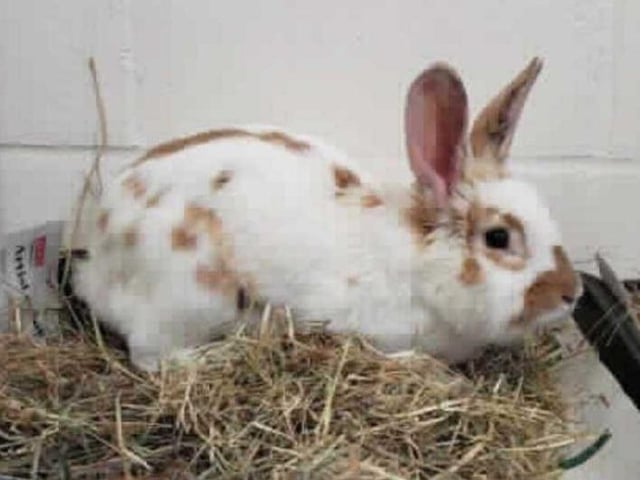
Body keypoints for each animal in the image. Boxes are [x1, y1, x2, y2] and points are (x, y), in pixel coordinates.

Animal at [70, 57, 582, 372]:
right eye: (498, 238)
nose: (572, 293)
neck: (421, 265)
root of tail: (96, 257)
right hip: (190, 298)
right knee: (151, 358)